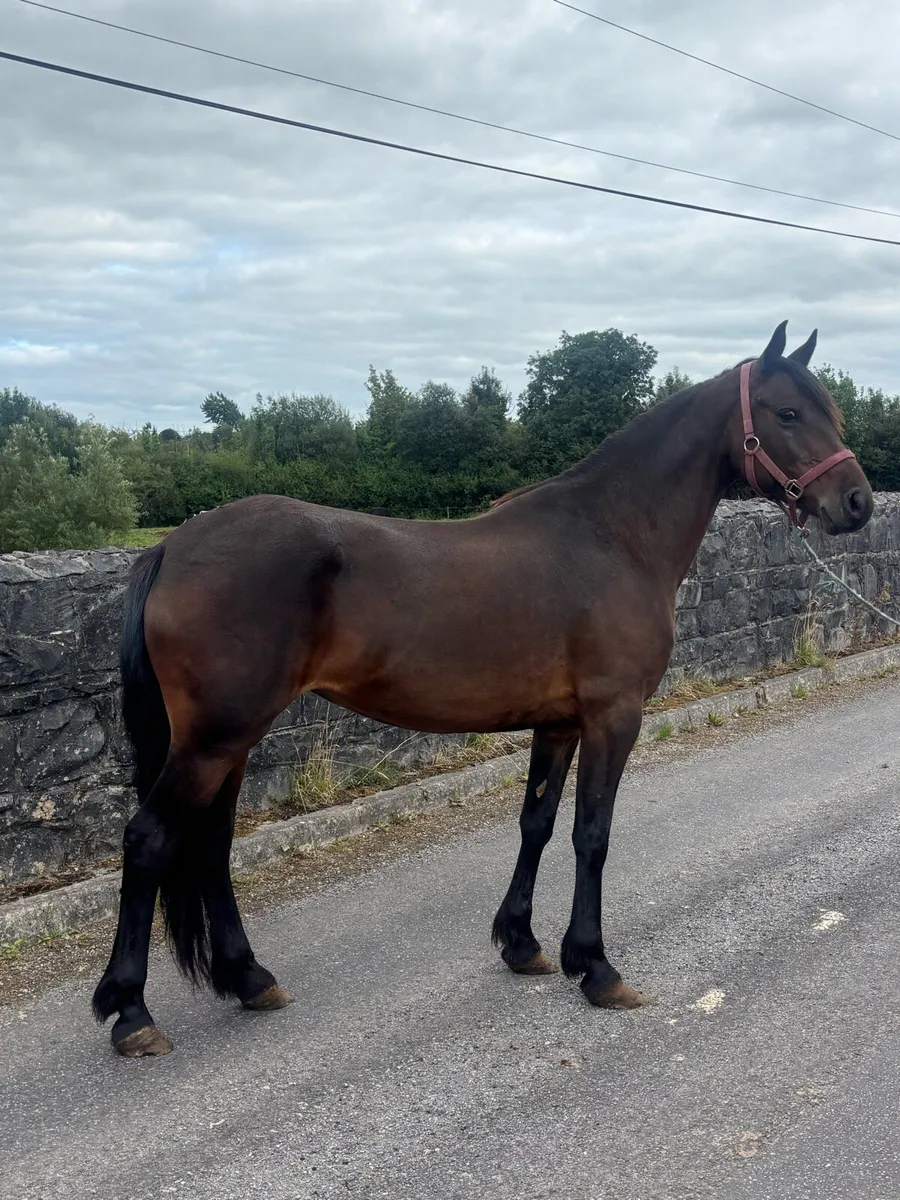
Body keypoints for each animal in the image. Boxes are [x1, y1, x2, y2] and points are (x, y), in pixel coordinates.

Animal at [92, 321, 873, 1056]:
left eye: (829, 410)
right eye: (788, 412)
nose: (858, 502)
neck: (614, 535)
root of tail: (172, 547)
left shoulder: (559, 722)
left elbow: (538, 823)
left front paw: (523, 943)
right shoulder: (613, 715)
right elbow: (592, 834)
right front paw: (596, 967)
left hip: (230, 741)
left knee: (210, 848)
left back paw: (248, 977)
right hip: (214, 739)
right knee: (150, 840)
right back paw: (132, 1012)